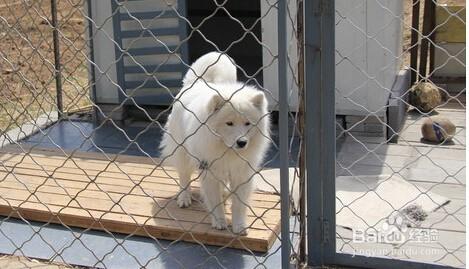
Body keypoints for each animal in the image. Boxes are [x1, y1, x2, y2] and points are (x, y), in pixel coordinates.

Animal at [160, 51, 270, 233]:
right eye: (229, 123)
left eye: (248, 123)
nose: (242, 142)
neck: (226, 150)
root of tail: (196, 83)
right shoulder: (209, 171)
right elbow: (214, 200)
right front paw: (219, 222)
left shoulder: (241, 173)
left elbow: (239, 204)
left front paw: (239, 226)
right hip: (182, 152)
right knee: (184, 176)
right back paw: (184, 198)